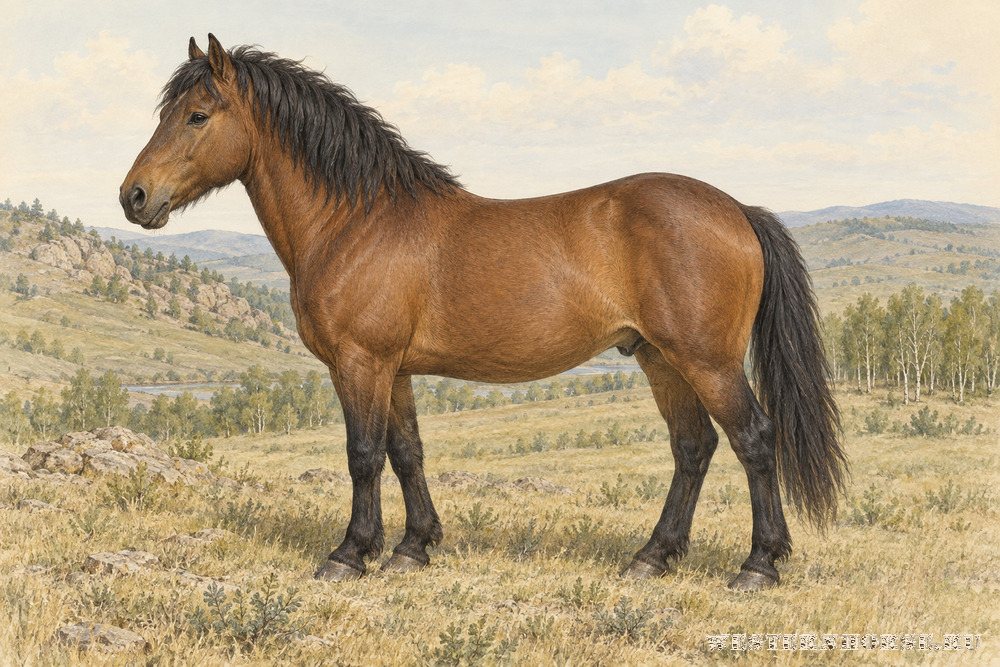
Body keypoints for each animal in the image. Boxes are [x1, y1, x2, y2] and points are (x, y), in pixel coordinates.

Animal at [121, 34, 846, 591]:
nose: (134, 196)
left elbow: (363, 454)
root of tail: (737, 210)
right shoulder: (395, 368)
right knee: (692, 448)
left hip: (707, 360)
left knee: (754, 439)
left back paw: (758, 565)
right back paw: (651, 557)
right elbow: (406, 451)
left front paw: (350, 553)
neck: (359, 222)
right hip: (660, 359)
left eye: (198, 115)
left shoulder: (360, 362)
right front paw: (413, 547)